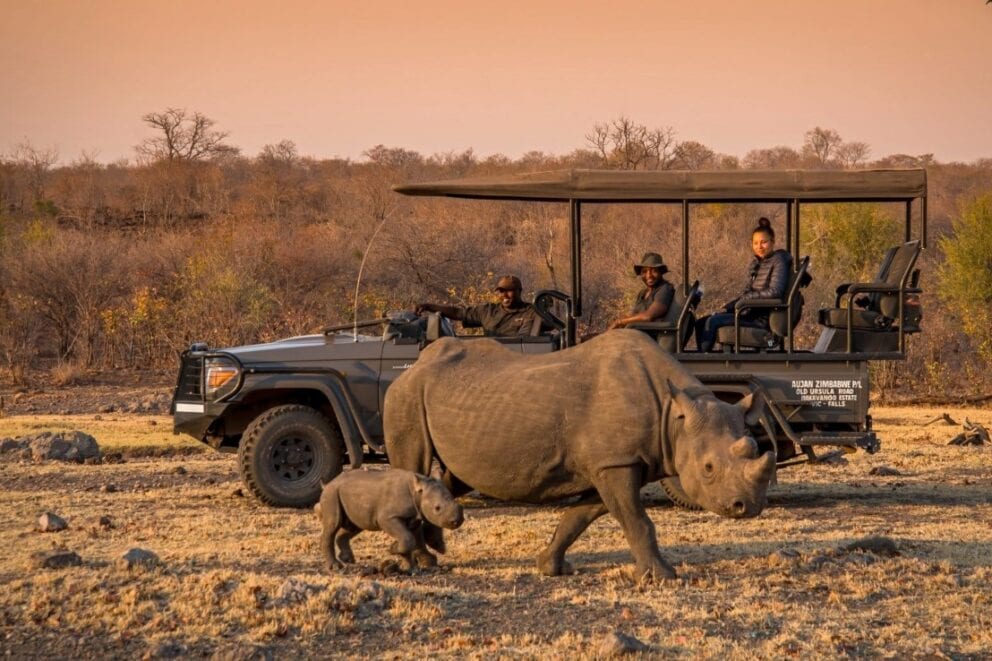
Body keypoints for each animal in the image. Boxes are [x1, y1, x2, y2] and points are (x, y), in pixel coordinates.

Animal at [384, 330, 775, 581]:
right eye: (708, 468)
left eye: (757, 450)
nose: (747, 507)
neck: (673, 415)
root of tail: (411, 367)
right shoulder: (615, 462)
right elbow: (637, 520)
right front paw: (663, 577)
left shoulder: (610, 462)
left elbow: (582, 516)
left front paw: (550, 567)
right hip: (405, 396)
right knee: (413, 468)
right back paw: (424, 562)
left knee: (453, 478)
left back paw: (435, 548)